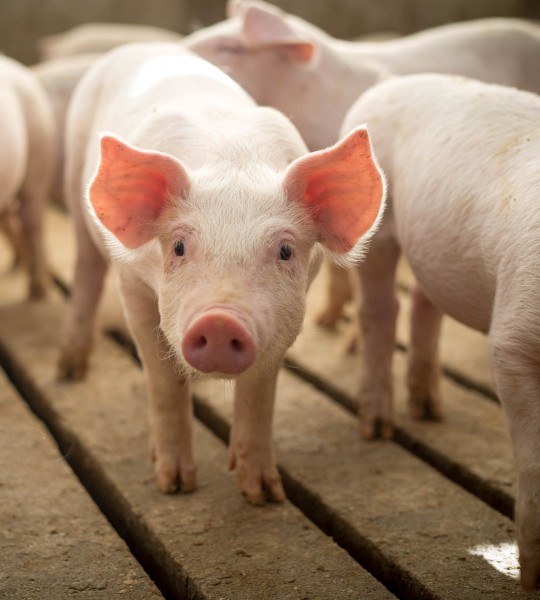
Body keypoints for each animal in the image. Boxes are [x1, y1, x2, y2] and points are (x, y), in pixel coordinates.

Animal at [58, 41, 384, 502]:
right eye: (178, 247)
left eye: (285, 250)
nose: (218, 320)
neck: (233, 162)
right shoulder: (132, 283)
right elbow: (163, 381)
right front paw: (175, 485)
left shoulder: (284, 317)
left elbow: (259, 393)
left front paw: (264, 495)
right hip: (74, 184)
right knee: (86, 268)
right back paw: (69, 370)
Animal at [342, 70, 540, 592]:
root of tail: (390, 83)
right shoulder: (512, 341)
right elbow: (533, 461)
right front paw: (531, 581)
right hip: (375, 227)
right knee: (379, 309)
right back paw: (376, 428)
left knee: (424, 301)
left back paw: (430, 410)